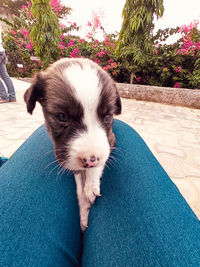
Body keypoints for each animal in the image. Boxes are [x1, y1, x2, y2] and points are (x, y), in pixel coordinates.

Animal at [24, 57, 121, 231]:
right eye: (61, 116)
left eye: (107, 117)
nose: (90, 161)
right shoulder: (69, 159)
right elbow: (79, 190)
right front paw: (84, 212)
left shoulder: (110, 140)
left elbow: (99, 163)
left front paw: (91, 185)